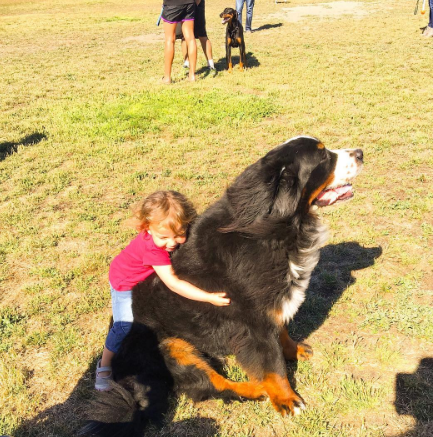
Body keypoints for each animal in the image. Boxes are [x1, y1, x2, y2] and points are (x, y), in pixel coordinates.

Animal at [80, 136, 362, 436]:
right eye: (323, 157)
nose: (361, 153)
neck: (275, 227)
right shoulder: (254, 323)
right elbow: (273, 365)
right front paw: (287, 400)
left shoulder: (273, 304)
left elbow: (283, 333)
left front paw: (295, 350)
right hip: (173, 347)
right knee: (210, 386)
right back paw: (255, 389)